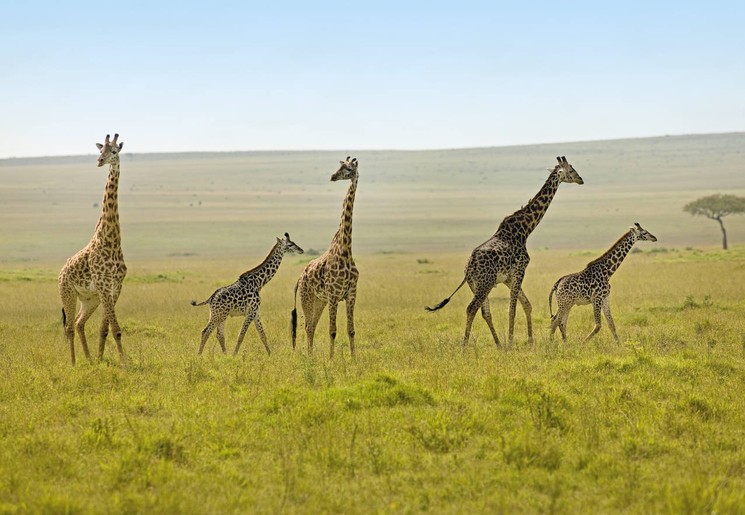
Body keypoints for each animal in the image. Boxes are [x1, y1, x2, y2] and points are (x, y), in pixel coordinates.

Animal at [58, 133, 127, 366]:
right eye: (100, 150)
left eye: (113, 151)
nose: (99, 161)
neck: (112, 240)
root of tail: (61, 272)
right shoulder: (105, 287)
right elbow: (116, 329)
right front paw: (124, 364)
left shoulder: (115, 288)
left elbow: (105, 329)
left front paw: (99, 358)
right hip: (67, 293)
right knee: (69, 327)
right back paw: (73, 363)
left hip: (90, 299)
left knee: (79, 323)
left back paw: (88, 359)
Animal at [290, 157, 360, 358]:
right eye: (340, 166)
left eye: (349, 169)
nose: (333, 176)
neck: (345, 249)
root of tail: (299, 279)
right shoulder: (334, 295)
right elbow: (332, 331)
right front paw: (331, 359)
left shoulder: (351, 294)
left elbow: (351, 330)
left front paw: (354, 359)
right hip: (307, 298)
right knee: (307, 326)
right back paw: (310, 357)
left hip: (319, 300)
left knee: (312, 325)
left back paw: (311, 356)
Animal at [428, 156, 584, 346]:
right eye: (571, 170)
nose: (581, 179)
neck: (525, 229)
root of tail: (469, 267)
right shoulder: (520, 270)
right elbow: (512, 309)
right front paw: (511, 343)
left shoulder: (508, 278)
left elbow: (527, 304)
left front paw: (529, 341)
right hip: (485, 283)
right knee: (471, 308)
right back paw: (465, 345)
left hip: (477, 285)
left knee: (484, 312)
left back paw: (498, 344)